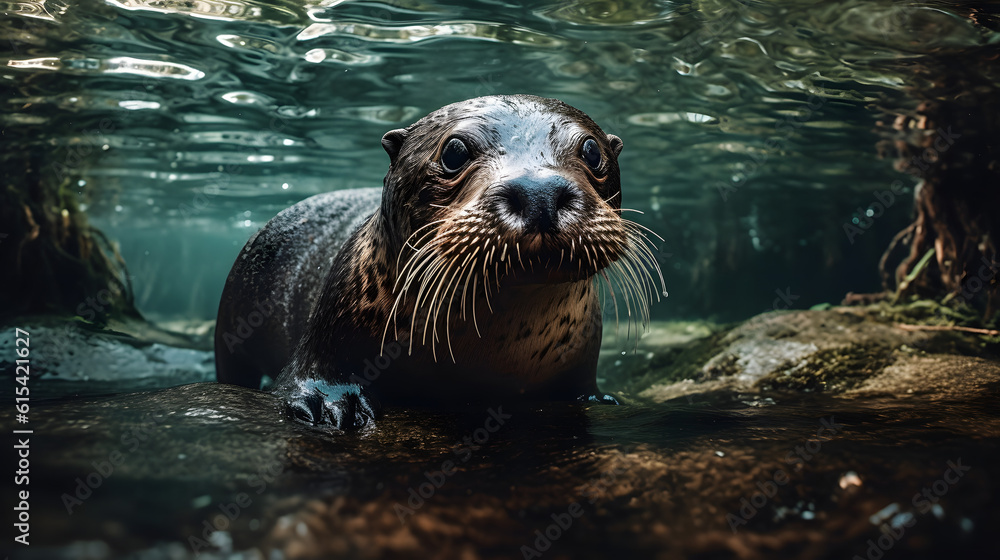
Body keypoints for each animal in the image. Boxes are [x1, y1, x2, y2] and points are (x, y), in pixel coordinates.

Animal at [214, 95, 665, 429]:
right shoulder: (328, 329)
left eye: (591, 150)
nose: (540, 191)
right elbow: (312, 377)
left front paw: (603, 399)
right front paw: (331, 405)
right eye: (454, 151)